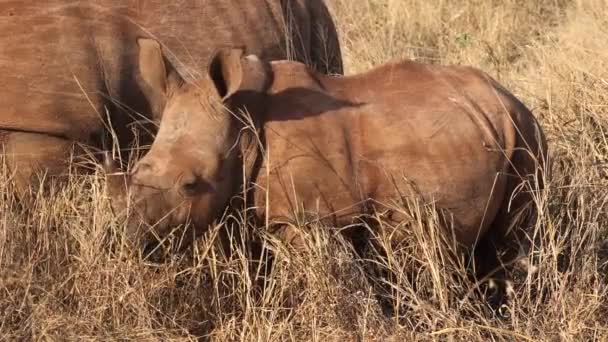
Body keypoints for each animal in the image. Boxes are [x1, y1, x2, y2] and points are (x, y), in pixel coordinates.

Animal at [107, 38, 548, 256]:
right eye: (137, 170)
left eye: (190, 185)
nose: (132, 240)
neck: (244, 119)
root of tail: (508, 97)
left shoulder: (306, 218)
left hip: (526, 138)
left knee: (517, 237)